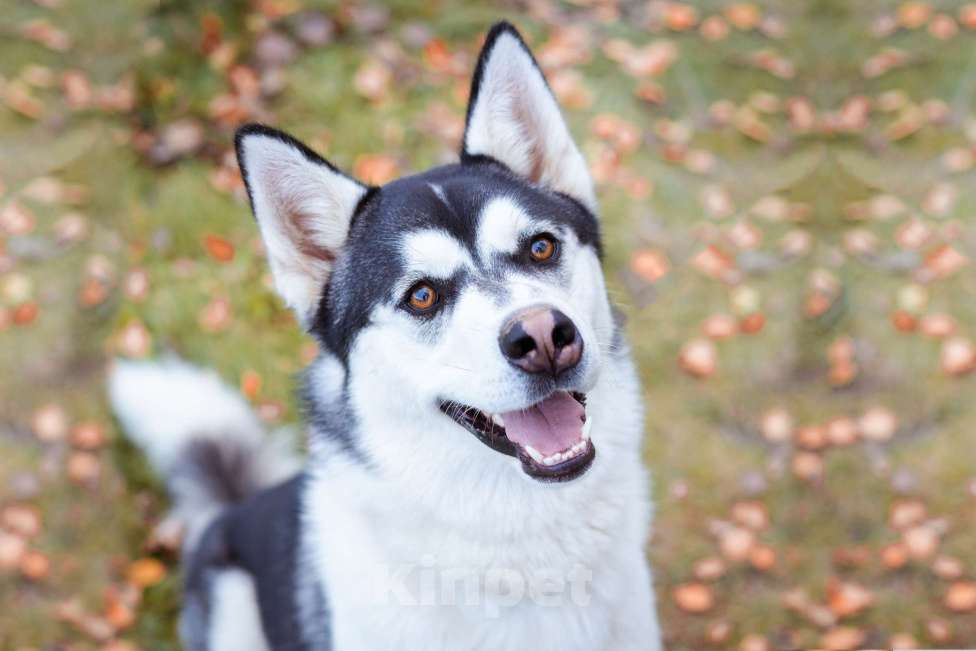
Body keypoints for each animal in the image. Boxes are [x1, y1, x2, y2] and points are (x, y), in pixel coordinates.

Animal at [110, 20, 664, 651]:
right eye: (421, 296)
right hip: (232, 606)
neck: (521, 546)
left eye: (541, 247)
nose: (545, 338)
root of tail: (237, 504)